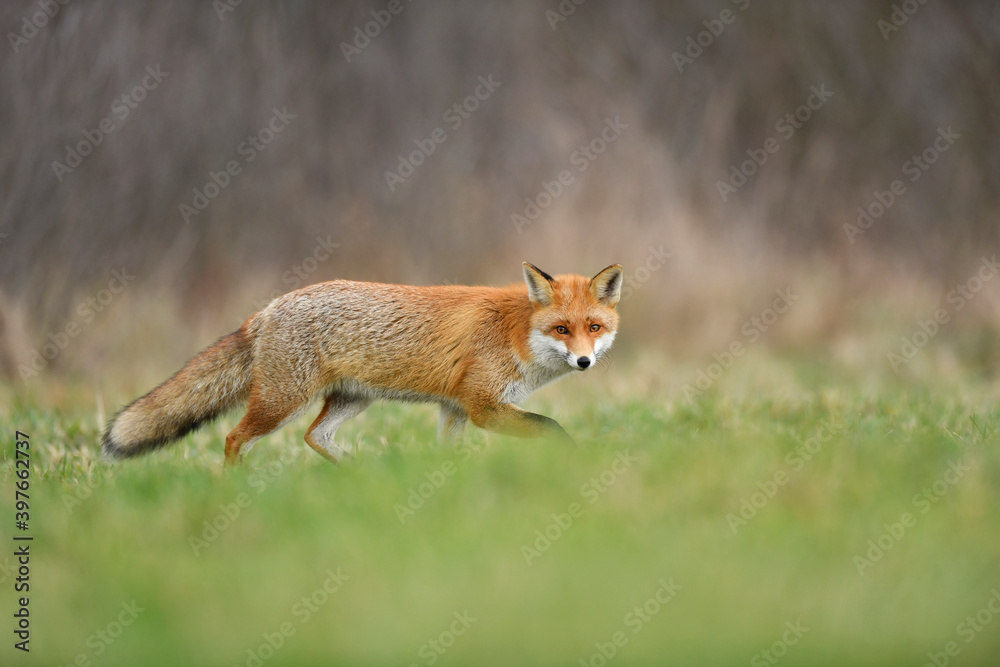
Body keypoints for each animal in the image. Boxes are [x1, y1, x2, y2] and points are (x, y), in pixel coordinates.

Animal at [102, 262, 623, 465]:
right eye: (562, 329)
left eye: (594, 327)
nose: (583, 361)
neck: (515, 333)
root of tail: (267, 309)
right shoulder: (481, 406)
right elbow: (552, 426)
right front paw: (576, 457)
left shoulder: (454, 409)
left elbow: (448, 458)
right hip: (283, 402)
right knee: (234, 438)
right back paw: (234, 489)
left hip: (351, 401)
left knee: (315, 437)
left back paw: (360, 472)